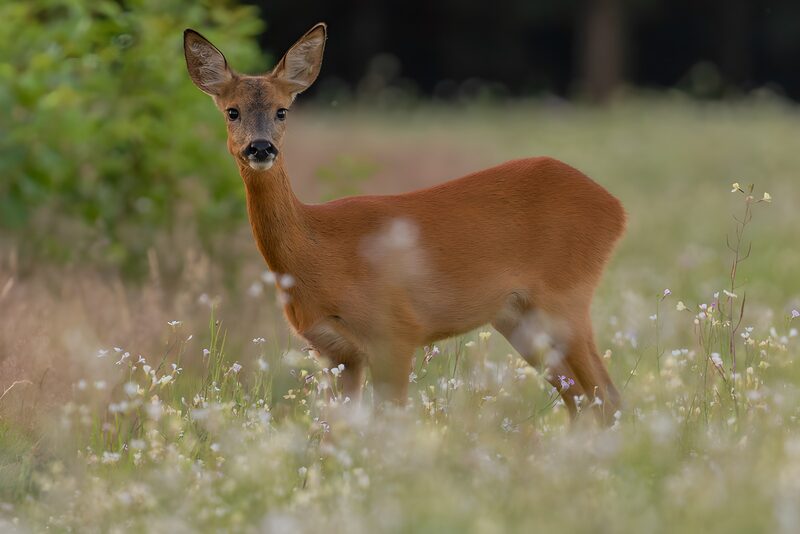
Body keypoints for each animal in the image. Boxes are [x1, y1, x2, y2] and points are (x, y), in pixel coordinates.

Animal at [184, 23, 626, 424]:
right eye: (232, 111)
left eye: (282, 110)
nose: (260, 148)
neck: (317, 252)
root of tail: (616, 207)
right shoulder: (334, 352)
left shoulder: (395, 332)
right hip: (517, 318)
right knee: (584, 401)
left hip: (565, 298)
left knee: (607, 397)